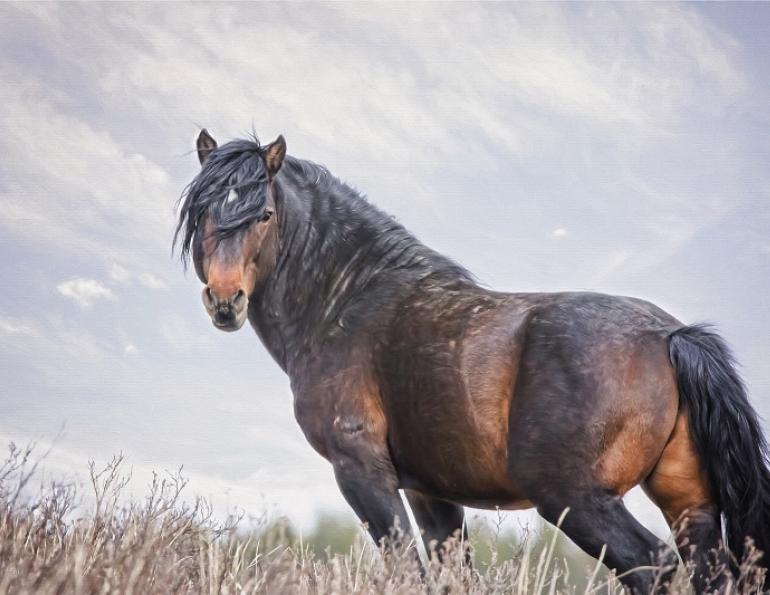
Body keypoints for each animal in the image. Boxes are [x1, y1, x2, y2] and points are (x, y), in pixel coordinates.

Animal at [174, 129, 770, 593]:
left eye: (264, 214)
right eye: (200, 214)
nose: (225, 301)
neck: (348, 302)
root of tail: (671, 335)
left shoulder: (362, 473)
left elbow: (407, 571)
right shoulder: (431, 493)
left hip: (577, 501)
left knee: (653, 567)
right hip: (689, 507)